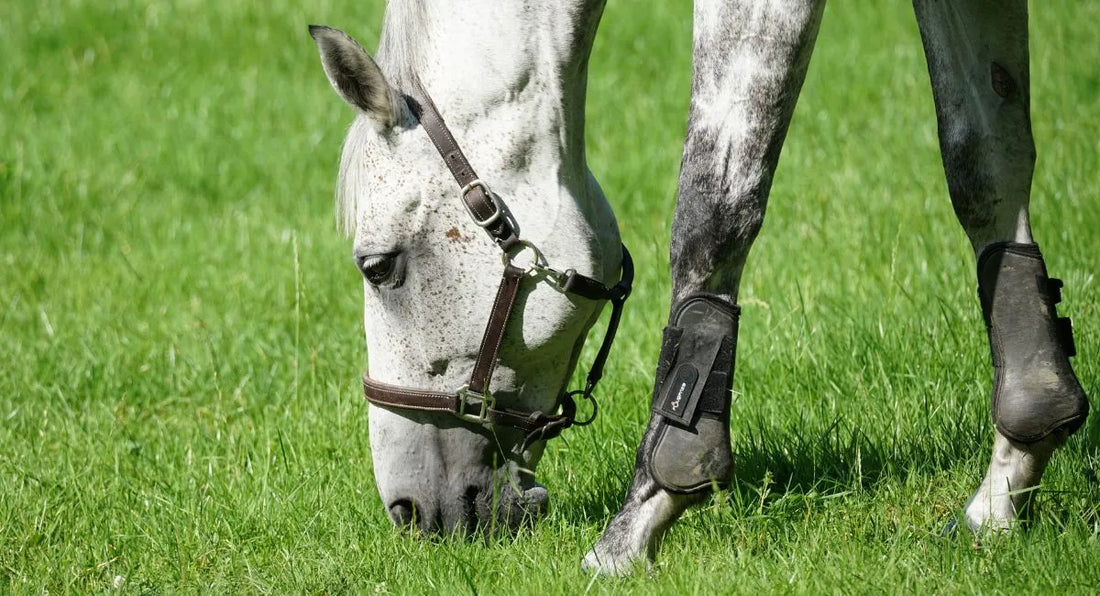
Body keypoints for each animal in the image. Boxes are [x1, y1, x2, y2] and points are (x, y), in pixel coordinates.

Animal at [309, 0, 1090, 575]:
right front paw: (1008, 482)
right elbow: (984, 162)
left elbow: (713, 205)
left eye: (378, 266)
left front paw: (641, 517)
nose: (408, 512)